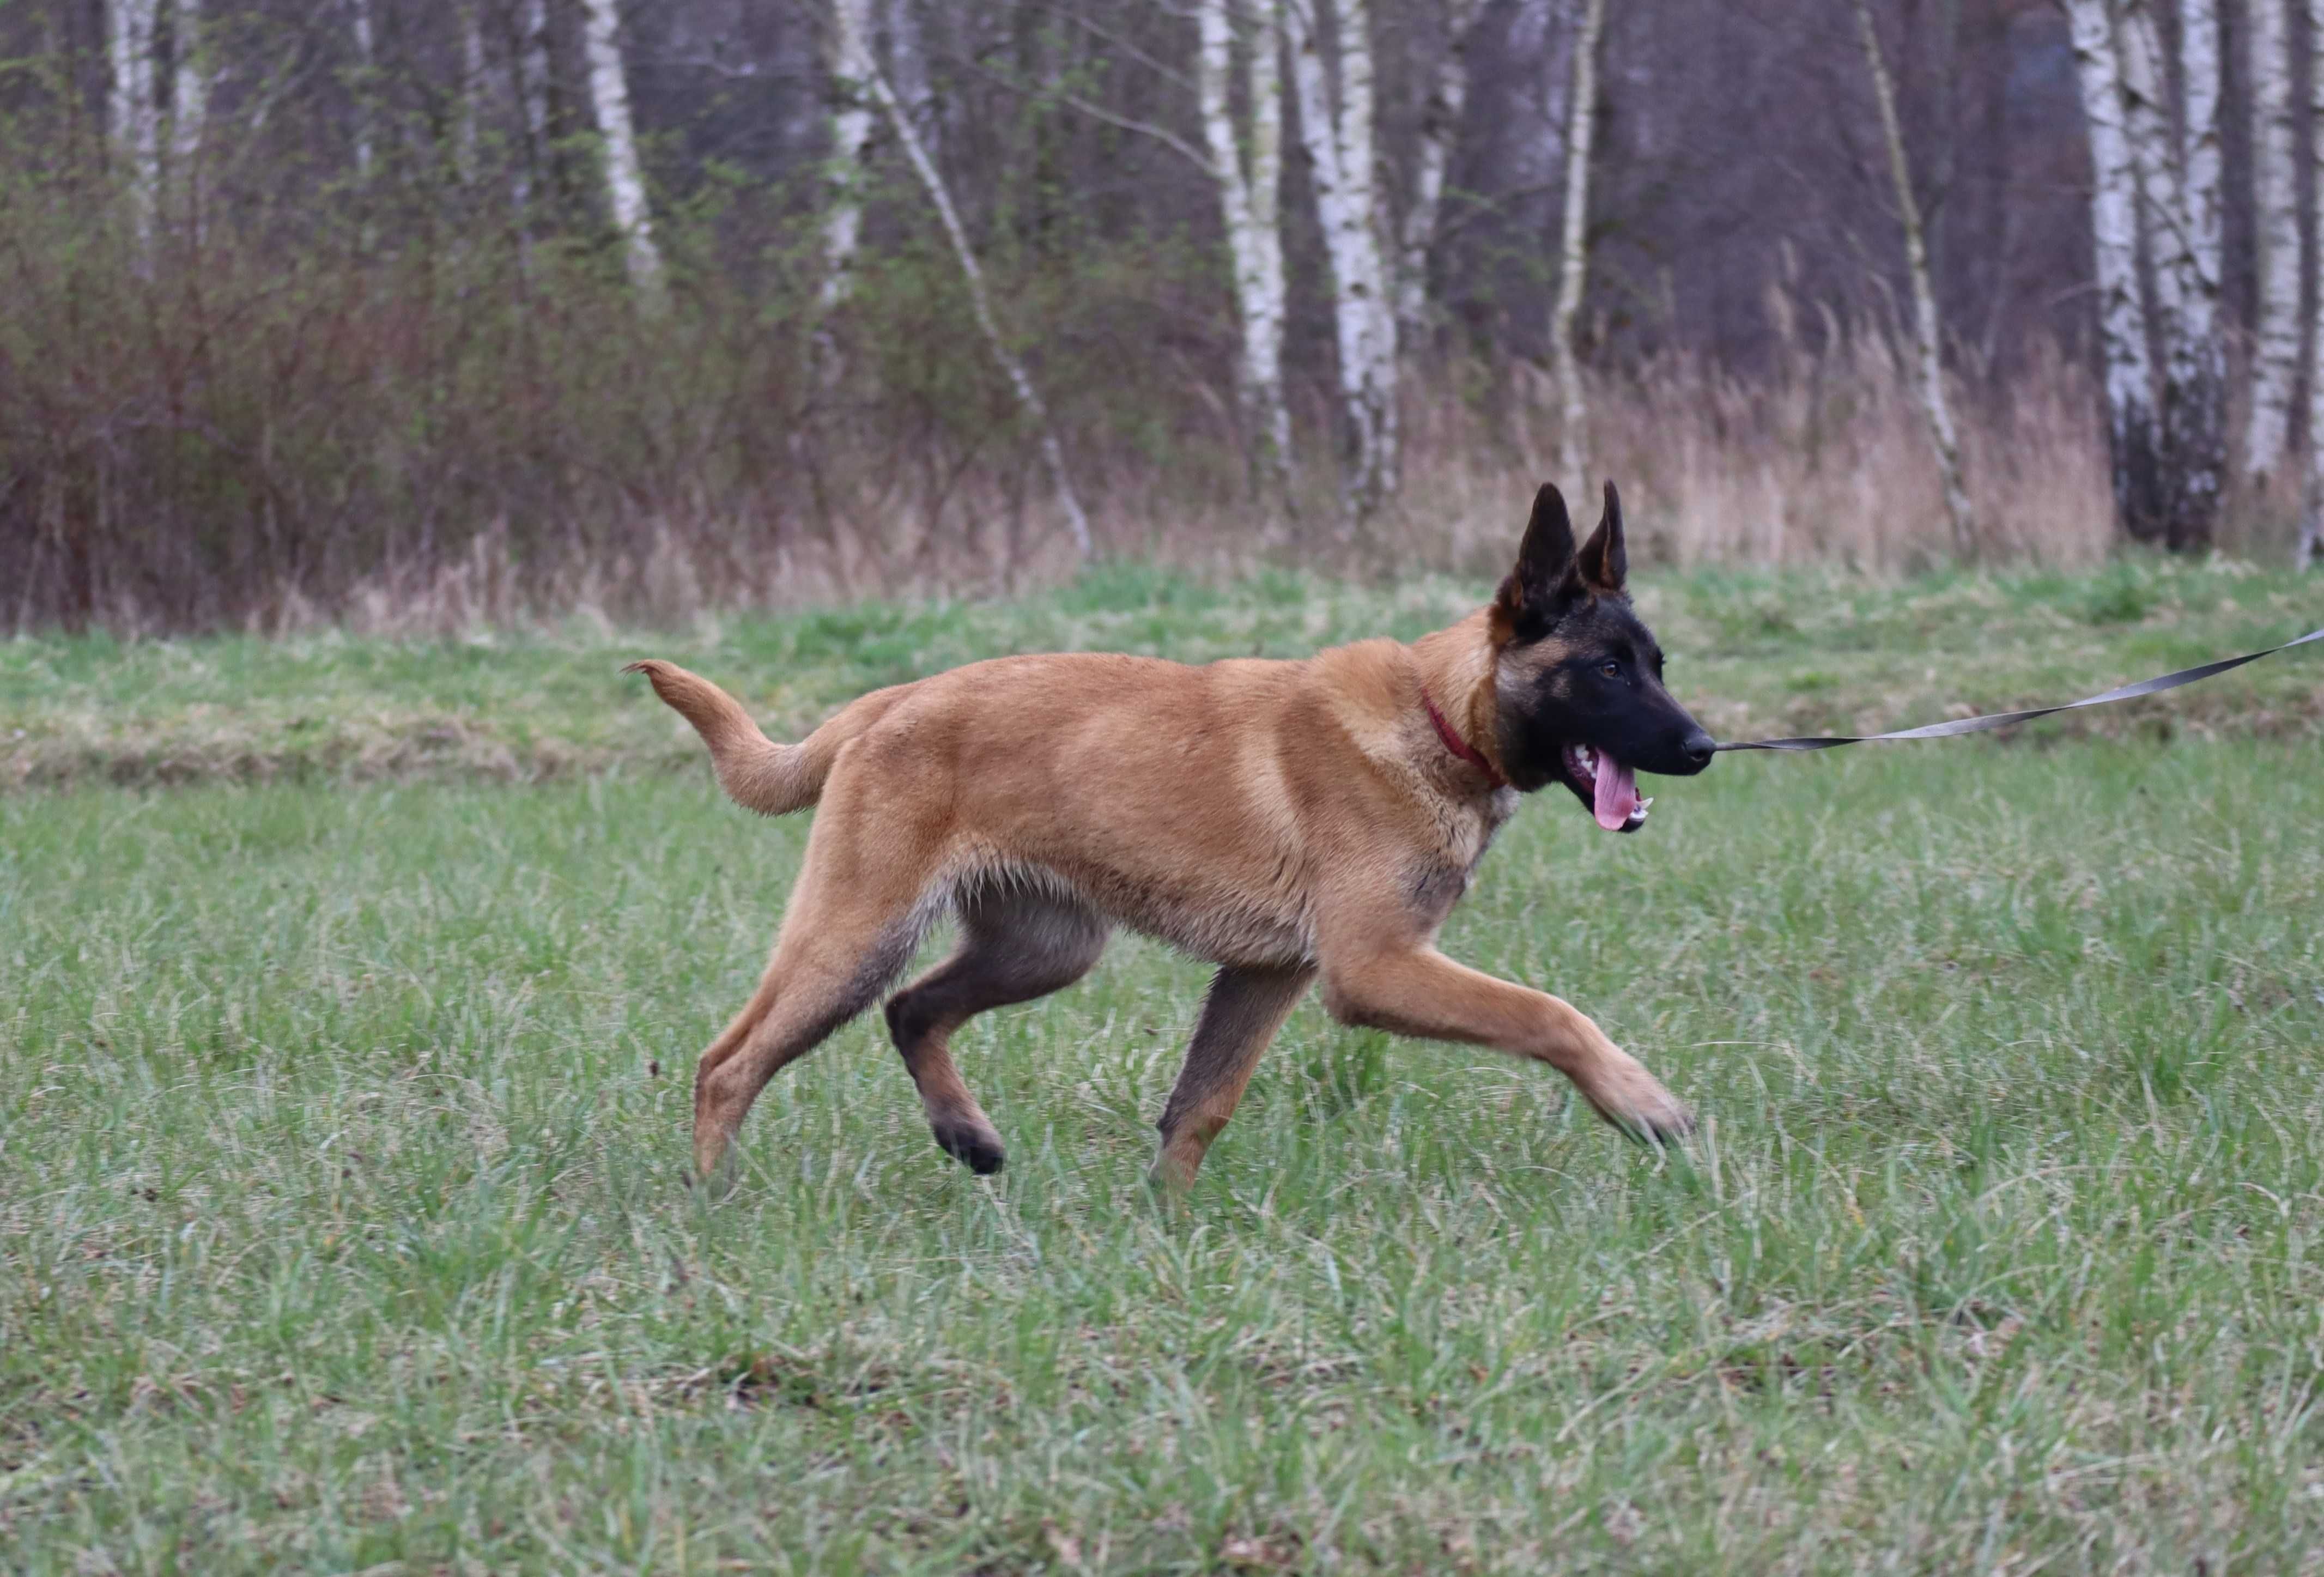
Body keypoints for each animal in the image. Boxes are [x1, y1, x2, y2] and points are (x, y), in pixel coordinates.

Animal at [627, 481, 1720, 1184]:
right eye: (1607, 671)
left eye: (1657, 663)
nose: (1706, 747)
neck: (1438, 715)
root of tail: (889, 698)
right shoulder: (1374, 967)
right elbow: (1551, 1013)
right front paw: (1643, 1103)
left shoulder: (1268, 974)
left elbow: (1200, 1103)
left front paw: (1167, 1219)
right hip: (857, 934)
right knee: (730, 1061)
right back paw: (713, 1203)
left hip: (1047, 947)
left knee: (913, 1011)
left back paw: (966, 1135)